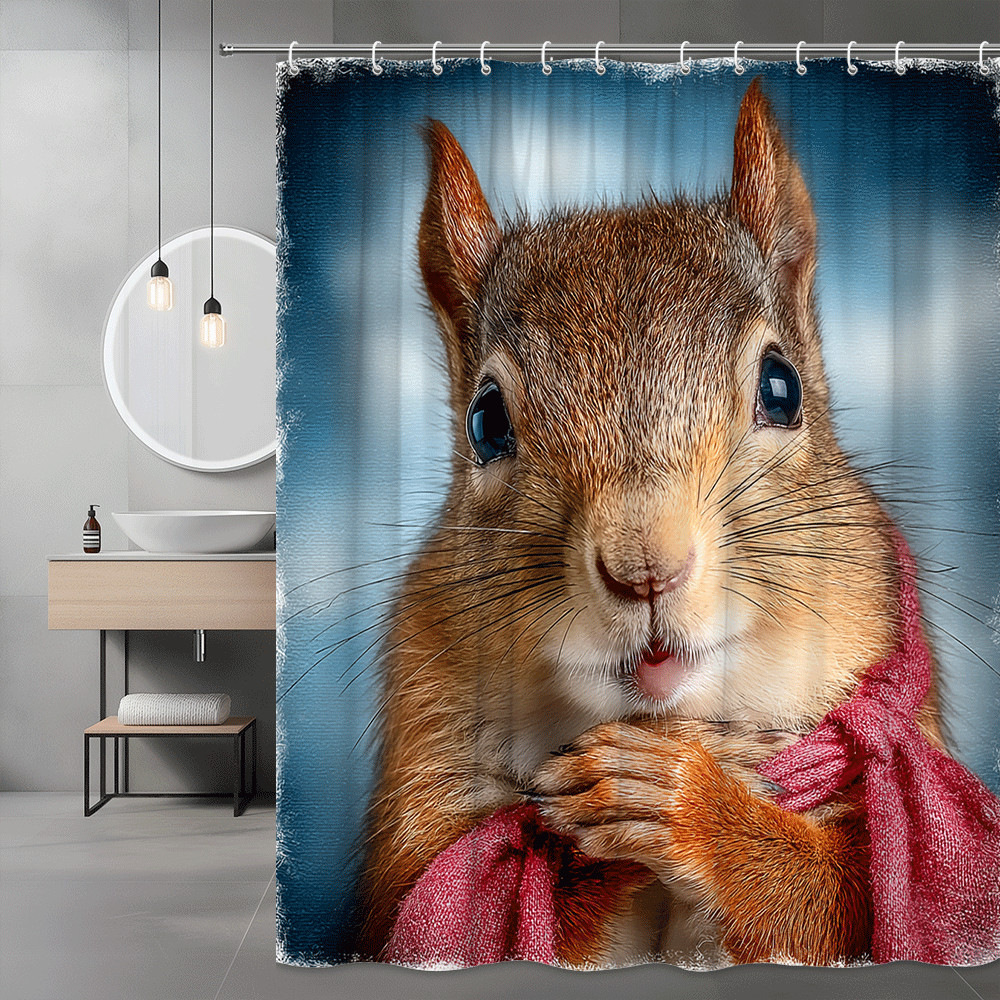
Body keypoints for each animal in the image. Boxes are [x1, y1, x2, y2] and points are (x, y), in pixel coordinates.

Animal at [353, 78, 945, 966]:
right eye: (485, 422)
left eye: (782, 387)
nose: (645, 570)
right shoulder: (424, 799)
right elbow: (458, 912)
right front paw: (621, 799)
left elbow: (839, 898)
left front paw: (688, 796)